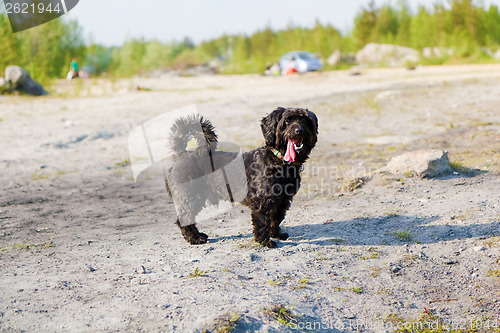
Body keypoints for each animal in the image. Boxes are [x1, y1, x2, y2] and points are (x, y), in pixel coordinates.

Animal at [166, 106, 318, 246]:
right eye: (287, 121)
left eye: (305, 120)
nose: (299, 130)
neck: (279, 162)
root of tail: (182, 154)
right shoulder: (262, 201)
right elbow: (262, 222)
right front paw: (264, 241)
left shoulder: (282, 200)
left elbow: (276, 218)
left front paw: (276, 234)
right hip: (191, 198)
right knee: (184, 219)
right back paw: (195, 238)